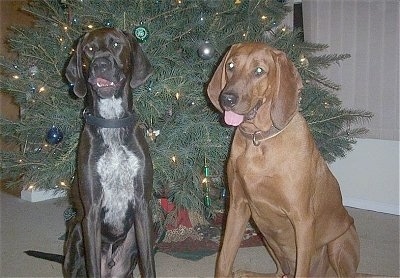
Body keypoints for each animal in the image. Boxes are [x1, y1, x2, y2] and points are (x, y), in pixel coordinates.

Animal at [208, 42, 360, 276]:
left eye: (259, 71)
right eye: (231, 66)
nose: (227, 99)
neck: (259, 141)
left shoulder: (302, 218)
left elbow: (301, 271)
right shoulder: (237, 206)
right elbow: (223, 260)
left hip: (339, 242)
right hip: (268, 239)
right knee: (280, 272)